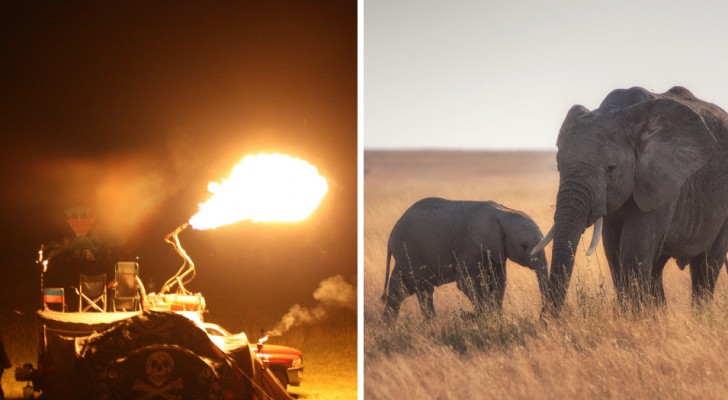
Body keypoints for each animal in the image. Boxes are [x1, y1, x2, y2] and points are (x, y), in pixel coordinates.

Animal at [384, 198, 548, 320]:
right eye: (523, 246)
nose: (542, 317)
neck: (504, 212)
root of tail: (392, 234)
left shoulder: (496, 249)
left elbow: (498, 282)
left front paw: (495, 318)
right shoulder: (469, 246)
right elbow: (467, 283)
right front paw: (484, 319)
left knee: (399, 288)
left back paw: (389, 326)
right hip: (408, 249)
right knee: (424, 288)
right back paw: (431, 323)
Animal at [532, 86, 728, 312]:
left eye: (611, 169)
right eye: (558, 166)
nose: (547, 318)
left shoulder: (661, 181)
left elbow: (633, 249)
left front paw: (635, 316)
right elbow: (613, 250)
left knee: (706, 265)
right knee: (658, 266)